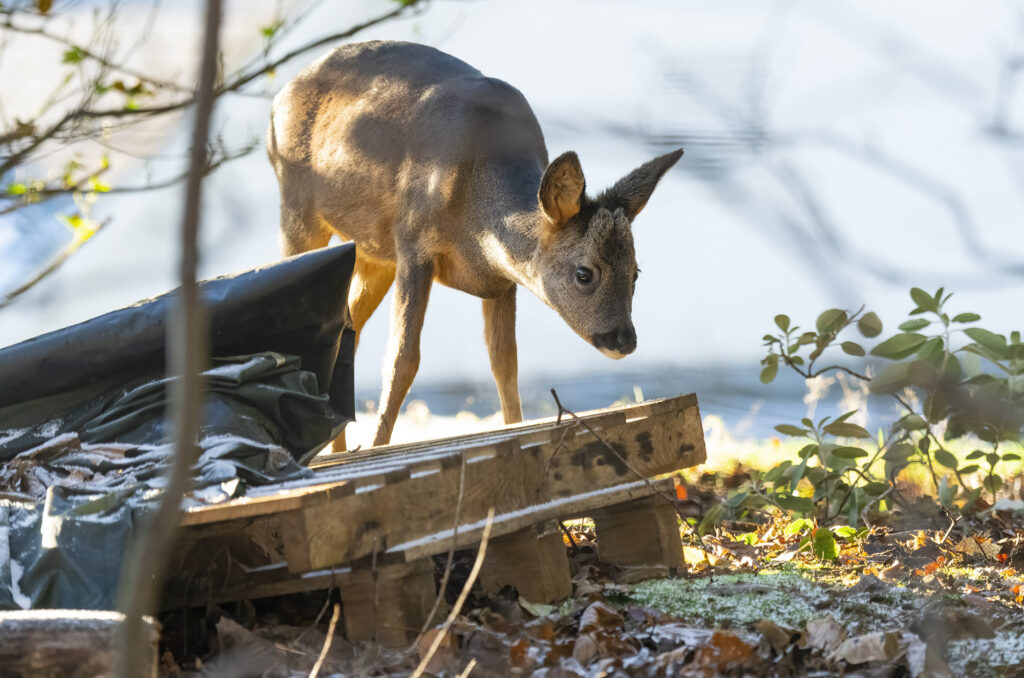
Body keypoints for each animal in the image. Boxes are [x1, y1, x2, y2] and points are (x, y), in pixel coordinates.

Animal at [267, 41, 682, 450]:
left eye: (636, 272)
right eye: (584, 273)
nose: (624, 339)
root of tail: (282, 93)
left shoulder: (503, 278)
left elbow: (505, 361)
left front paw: (516, 429)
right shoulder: (414, 243)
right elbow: (403, 359)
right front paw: (377, 447)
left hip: (373, 251)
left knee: (346, 331)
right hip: (298, 207)